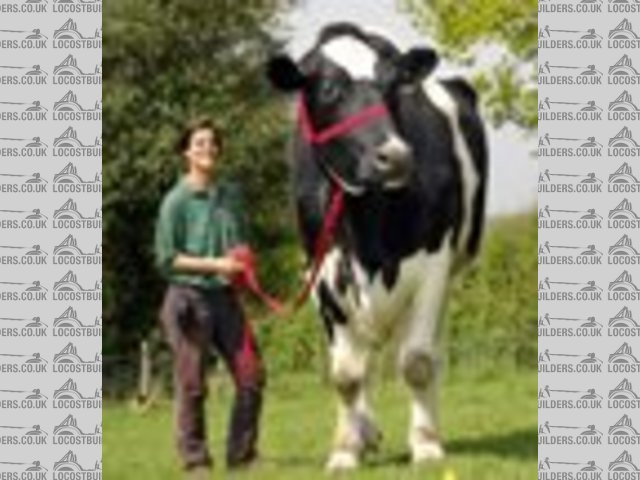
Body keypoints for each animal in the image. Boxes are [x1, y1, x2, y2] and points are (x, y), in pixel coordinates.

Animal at [266, 22, 488, 471]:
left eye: (394, 85)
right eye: (328, 89)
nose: (396, 156)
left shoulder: (433, 265)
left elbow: (417, 362)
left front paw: (426, 444)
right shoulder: (321, 274)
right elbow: (346, 375)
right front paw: (345, 449)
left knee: (426, 352)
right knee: (364, 360)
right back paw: (362, 432)